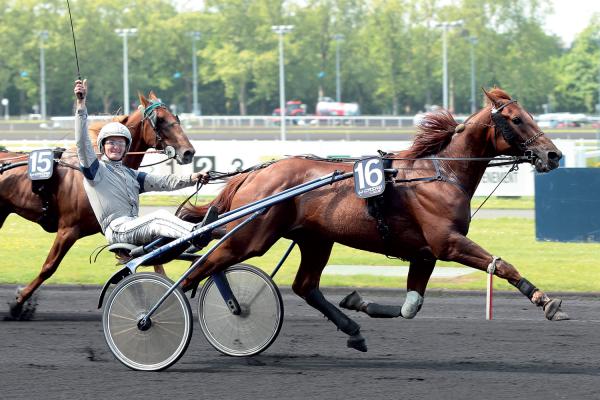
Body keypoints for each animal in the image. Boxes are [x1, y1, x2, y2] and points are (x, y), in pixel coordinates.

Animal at [0, 92, 195, 320]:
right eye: (161, 120)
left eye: (176, 117)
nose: (189, 152)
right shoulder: (68, 229)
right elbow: (49, 267)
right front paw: (19, 303)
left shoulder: (112, 229)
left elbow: (147, 261)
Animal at [179, 89, 568, 352]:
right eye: (517, 119)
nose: (554, 154)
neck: (441, 172)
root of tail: (255, 173)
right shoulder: (447, 243)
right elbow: (501, 265)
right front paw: (545, 301)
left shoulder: (424, 254)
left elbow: (411, 306)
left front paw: (358, 302)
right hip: (250, 237)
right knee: (203, 267)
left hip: (316, 239)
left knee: (305, 286)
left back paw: (352, 328)